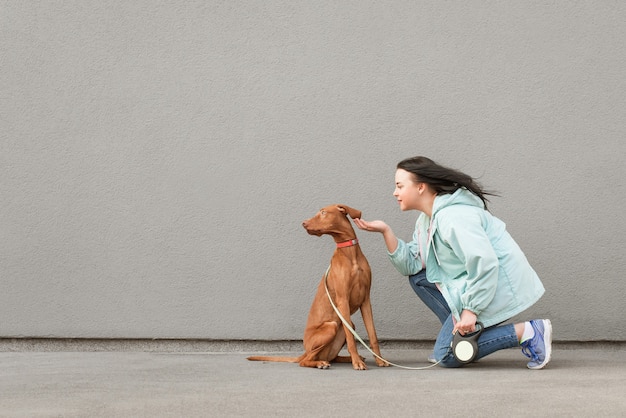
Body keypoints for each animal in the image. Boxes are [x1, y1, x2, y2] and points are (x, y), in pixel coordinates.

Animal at [246, 204, 388, 370]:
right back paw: (323, 362)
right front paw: (357, 363)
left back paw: (348, 358)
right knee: (305, 361)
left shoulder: (365, 300)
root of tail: (305, 351)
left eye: (323, 212)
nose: (303, 223)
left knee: (332, 356)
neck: (350, 253)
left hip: (343, 324)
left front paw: (380, 360)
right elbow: (351, 339)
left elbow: (373, 335)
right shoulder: (342, 300)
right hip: (331, 326)